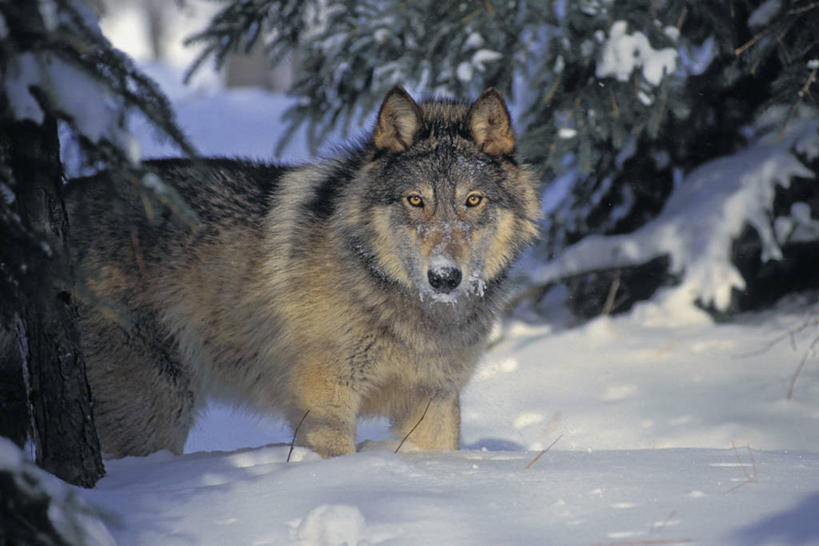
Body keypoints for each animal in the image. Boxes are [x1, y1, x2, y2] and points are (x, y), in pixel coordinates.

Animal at [67, 87, 540, 456]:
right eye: (415, 201)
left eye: (473, 201)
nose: (443, 277)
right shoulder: (325, 403)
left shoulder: (434, 401)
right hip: (159, 412)